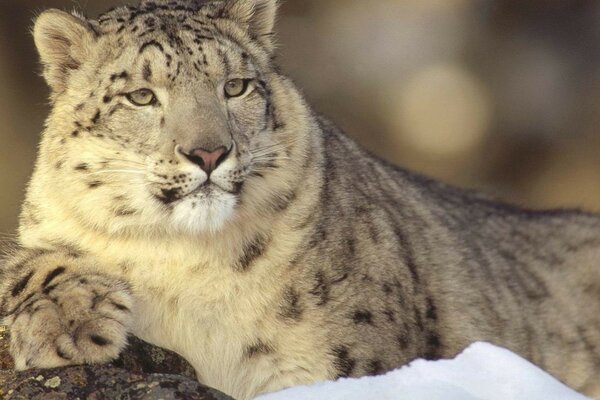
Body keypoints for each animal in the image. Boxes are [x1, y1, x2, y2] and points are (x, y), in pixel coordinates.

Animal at [1, 0, 600, 398]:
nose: (209, 152)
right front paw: (70, 325)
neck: (182, 260)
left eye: (236, 86)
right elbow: (24, 264)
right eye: (141, 96)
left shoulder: (333, 364)